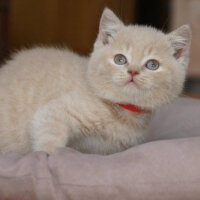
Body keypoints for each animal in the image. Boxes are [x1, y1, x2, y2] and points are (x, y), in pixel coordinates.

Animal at [0, 8, 191, 155]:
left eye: (152, 65)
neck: (122, 111)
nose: (133, 71)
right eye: (120, 59)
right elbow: (49, 140)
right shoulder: (51, 113)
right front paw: (46, 157)